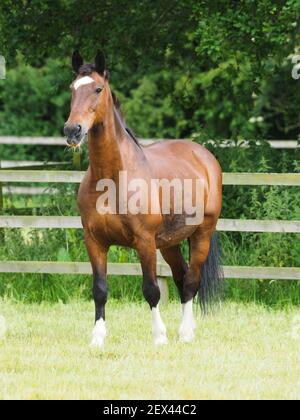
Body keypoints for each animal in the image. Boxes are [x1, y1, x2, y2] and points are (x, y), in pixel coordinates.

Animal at [63, 50, 223, 348]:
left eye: (98, 89)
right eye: (72, 89)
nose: (72, 131)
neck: (112, 179)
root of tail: (203, 155)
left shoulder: (144, 241)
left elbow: (151, 289)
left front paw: (159, 337)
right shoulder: (94, 242)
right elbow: (99, 289)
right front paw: (97, 337)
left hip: (202, 234)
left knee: (191, 280)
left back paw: (185, 333)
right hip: (169, 243)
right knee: (181, 278)